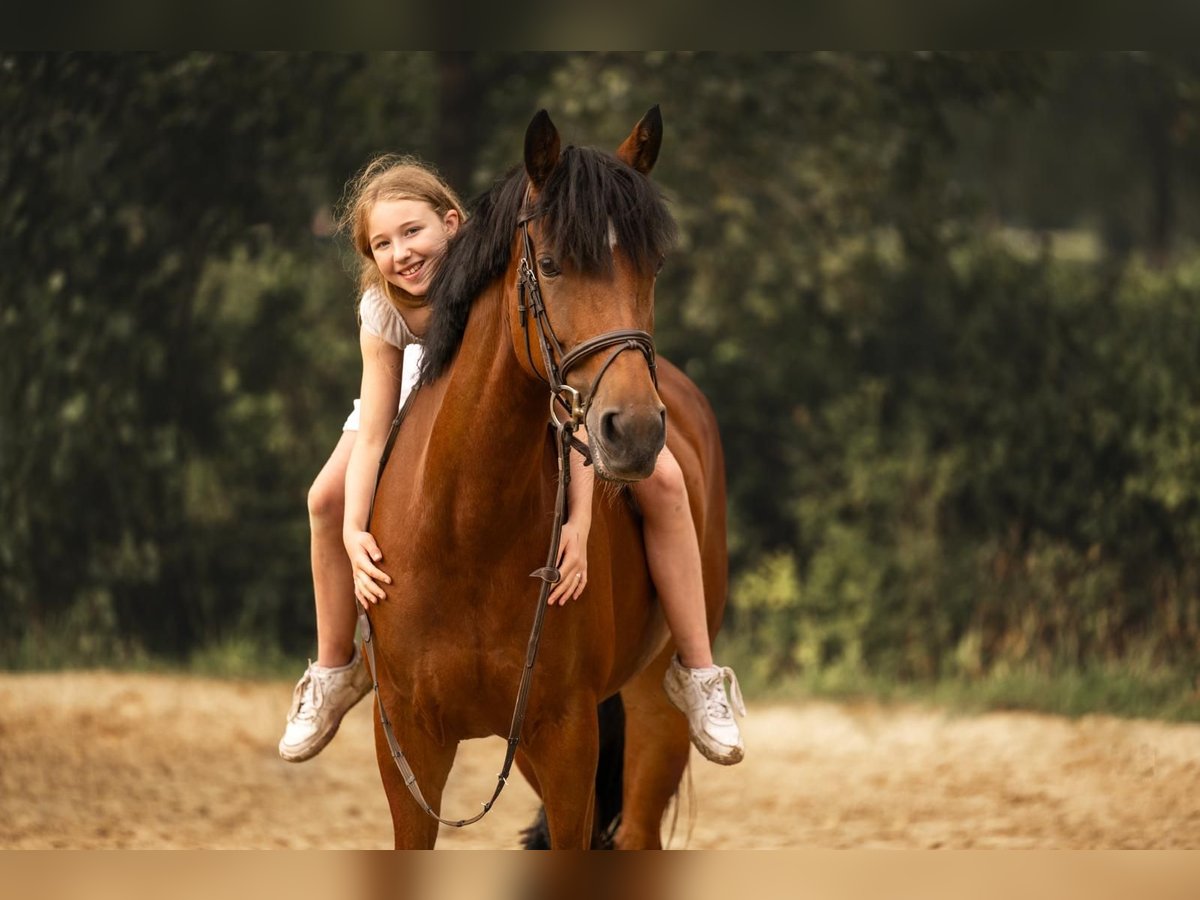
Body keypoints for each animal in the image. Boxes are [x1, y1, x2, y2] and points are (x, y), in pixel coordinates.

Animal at [364, 107, 724, 854]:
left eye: (652, 266)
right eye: (552, 264)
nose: (635, 430)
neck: (465, 528)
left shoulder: (567, 738)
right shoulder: (410, 748)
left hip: (654, 713)